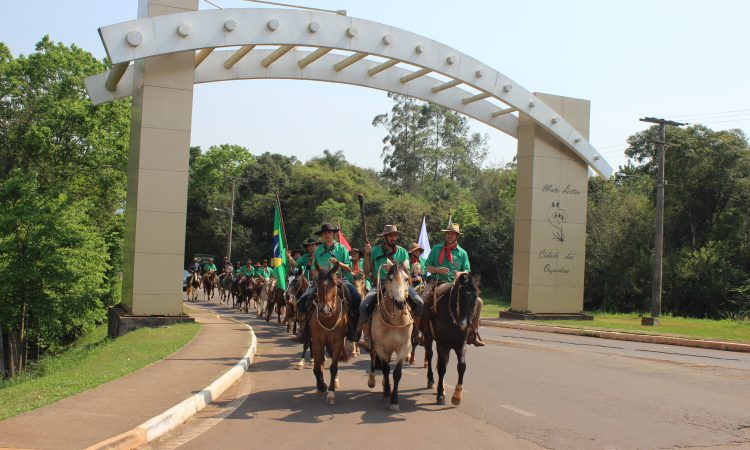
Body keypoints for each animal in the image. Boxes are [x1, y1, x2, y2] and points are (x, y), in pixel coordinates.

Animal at [308, 266, 350, 406]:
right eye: (318, 283)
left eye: (334, 284)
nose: (325, 310)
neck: (328, 319)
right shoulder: (317, 343)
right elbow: (317, 367)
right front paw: (321, 386)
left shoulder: (338, 343)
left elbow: (333, 368)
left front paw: (331, 393)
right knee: (321, 362)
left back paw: (335, 382)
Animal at [370, 268, 418, 412]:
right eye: (390, 278)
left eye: (406, 278)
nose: (400, 302)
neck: (395, 321)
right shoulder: (380, 347)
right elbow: (385, 369)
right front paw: (387, 392)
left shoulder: (404, 347)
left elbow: (396, 373)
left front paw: (394, 400)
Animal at [424, 272, 482, 406]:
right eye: (460, 296)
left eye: (475, 297)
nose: (465, 324)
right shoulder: (441, 344)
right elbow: (441, 368)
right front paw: (440, 395)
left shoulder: (461, 344)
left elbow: (462, 366)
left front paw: (457, 395)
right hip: (428, 337)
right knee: (430, 356)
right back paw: (431, 380)